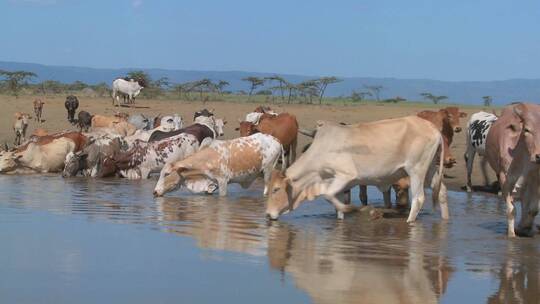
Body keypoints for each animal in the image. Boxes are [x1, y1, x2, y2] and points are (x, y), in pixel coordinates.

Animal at [150, 133, 280, 197]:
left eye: (166, 174)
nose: (154, 192)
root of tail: (276, 140)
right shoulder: (212, 183)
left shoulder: (223, 181)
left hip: (268, 171)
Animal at [264, 116, 448, 223]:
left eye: (276, 189)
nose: (267, 214)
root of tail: (434, 129)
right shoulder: (335, 182)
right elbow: (336, 205)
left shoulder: (345, 176)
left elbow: (328, 196)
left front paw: (355, 209)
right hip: (429, 169)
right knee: (441, 191)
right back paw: (445, 219)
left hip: (416, 170)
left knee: (418, 198)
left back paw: (410, 222)